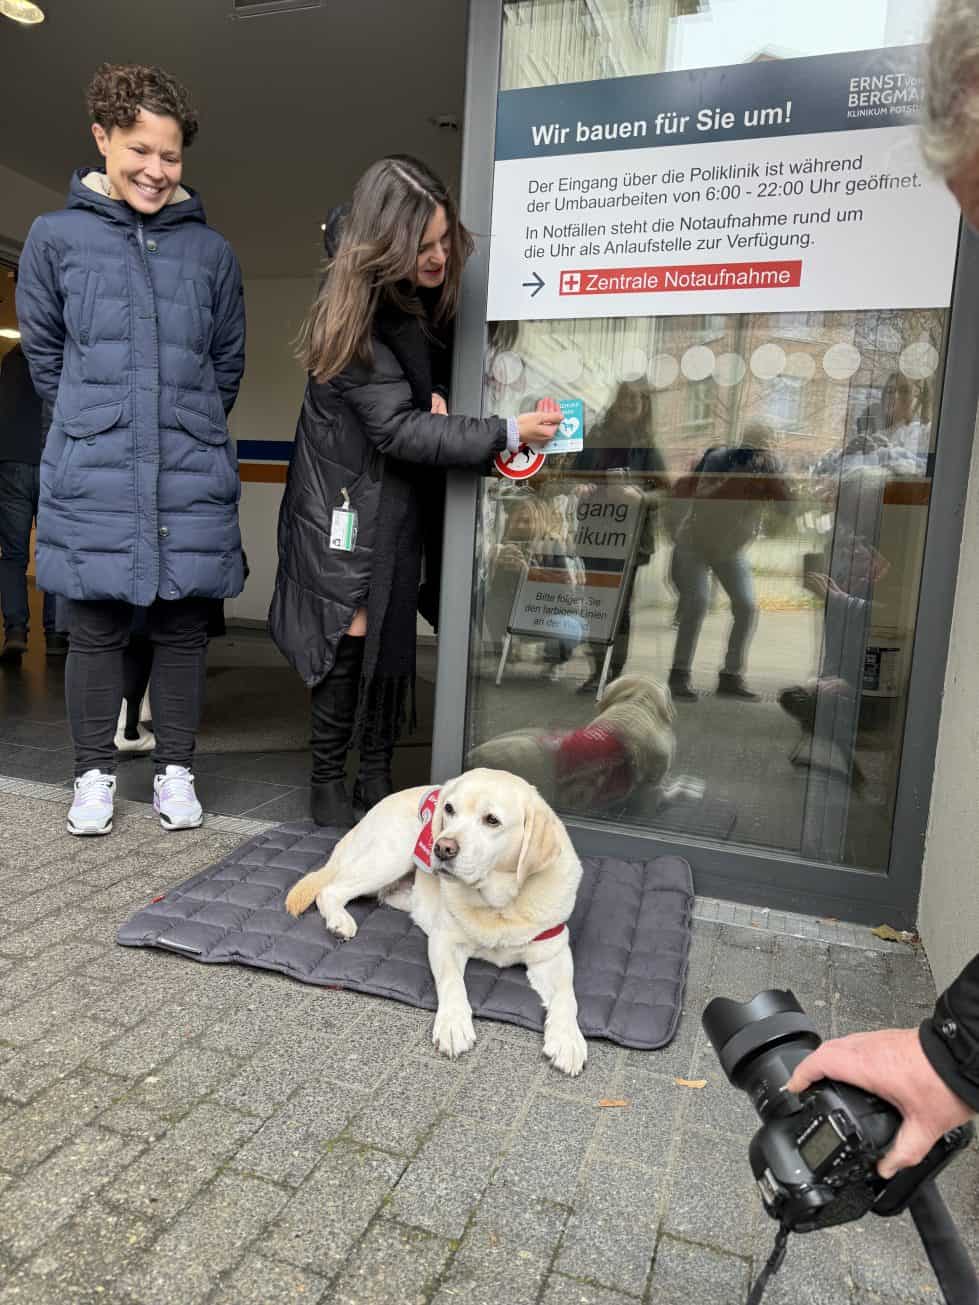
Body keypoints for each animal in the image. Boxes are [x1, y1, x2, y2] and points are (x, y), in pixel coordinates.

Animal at [285, 762, 590, 1070]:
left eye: (492, 820)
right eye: (449, 809)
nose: (442, 848)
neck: (499, 905)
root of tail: (370, 812)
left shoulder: (553, 954)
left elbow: (567, 996)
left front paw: (567, 1039)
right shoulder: (445, 940)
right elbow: (452, 981)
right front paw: (454, 1024)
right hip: (392, 856)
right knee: (330, 890)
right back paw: (339, 921)